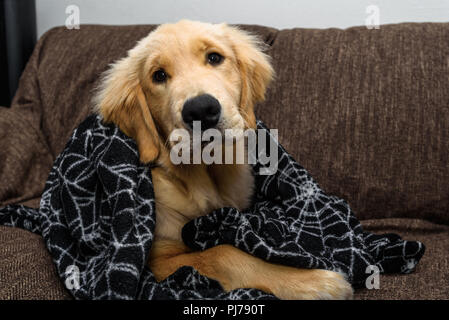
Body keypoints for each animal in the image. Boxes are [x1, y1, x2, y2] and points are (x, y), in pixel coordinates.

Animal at [95, 20, 354, 300]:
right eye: (159, 76)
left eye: (214, 58)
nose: (200, 110)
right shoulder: (159, 259)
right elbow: (221, 254)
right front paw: (310, 281)